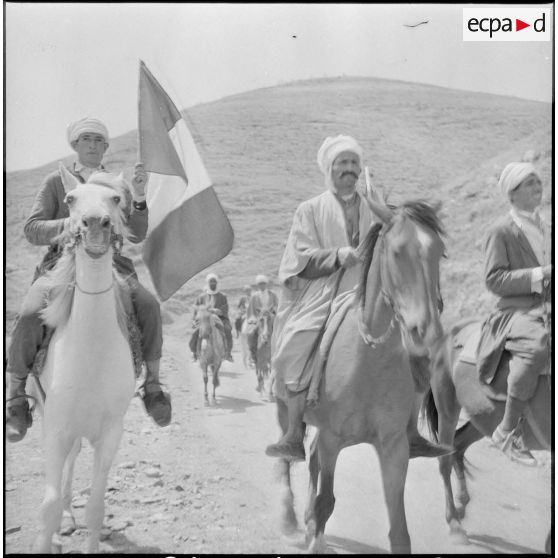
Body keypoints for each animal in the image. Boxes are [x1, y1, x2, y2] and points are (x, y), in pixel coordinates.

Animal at [28, 166, 137, 556]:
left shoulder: (110, 433)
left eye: (117, 199)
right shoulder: (55, 429)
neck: (91, 354)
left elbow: (96, 507)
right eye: (71, 200)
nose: (94, 225)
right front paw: (53, 527)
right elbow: (45, 508)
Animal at [276, 198, 446, 556]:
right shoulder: (332, 438)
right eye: (396, 252)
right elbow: (326, 501)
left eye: (439, 253)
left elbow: (400, 530)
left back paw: (307, 522)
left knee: (311, 460)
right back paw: (289, 518)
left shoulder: (394, 446)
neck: (368, 362)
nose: (426, 331)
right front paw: (315, 540)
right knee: (289, 454)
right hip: (284, 405)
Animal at [424, 320, 552, 556]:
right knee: (445, 460)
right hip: (447, 407)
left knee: (458, 446)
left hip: (483, 416)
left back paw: (462, 505)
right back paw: (454, 524)